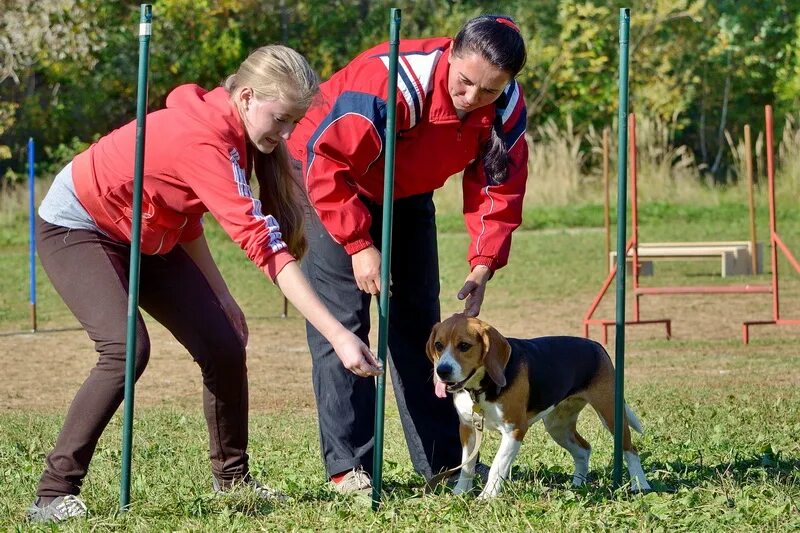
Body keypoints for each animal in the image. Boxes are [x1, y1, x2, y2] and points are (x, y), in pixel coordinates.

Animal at [428, 314, 648, 496]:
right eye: (438, 345)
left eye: (464, 346)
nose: (442, 371)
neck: (480, 387)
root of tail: (595, 345)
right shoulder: (468, 428)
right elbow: (467, 466)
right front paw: (460, 493)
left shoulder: (515, 430)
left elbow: (498, 466)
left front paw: (487, 497)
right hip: (557, 427)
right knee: (584, 450)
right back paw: (578, 485)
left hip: (611, 414)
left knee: (631, 451)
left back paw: (640, 485)